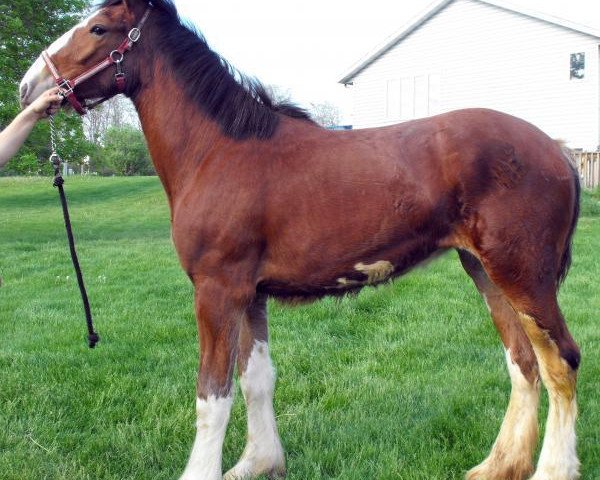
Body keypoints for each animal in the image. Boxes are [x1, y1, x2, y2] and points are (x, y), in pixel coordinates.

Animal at [19, 1, 580, 478]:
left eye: (97, 28)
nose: (29, 87)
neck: (218, 150)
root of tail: (557, 150)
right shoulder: (249, 294)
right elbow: (255, 380)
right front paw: (259, 463)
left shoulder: (216, 291)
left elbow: (212, 394)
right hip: (484, 270)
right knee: (524, 362)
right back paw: (499, 465)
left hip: (523, 275)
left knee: (561, 362)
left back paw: (551, 468)